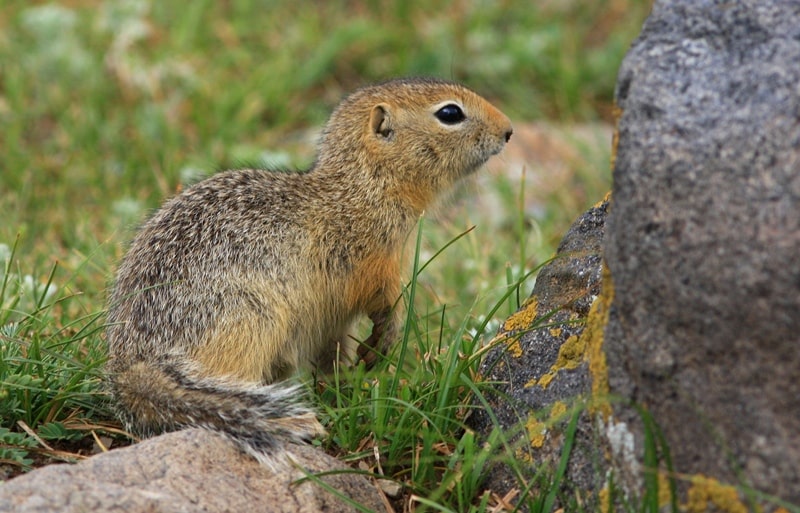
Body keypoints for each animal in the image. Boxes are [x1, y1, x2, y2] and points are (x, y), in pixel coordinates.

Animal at [106, 77, 512, 464]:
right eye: (449, 113)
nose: (508, 130)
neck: (364, 186)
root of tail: (131, 364)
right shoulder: (372, 267)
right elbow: (386, 304)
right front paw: (384, 343)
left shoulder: (333, 321)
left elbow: (333, 355)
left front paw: (349, 387)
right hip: (249, 320)